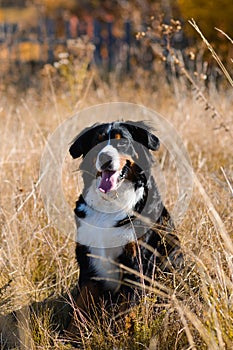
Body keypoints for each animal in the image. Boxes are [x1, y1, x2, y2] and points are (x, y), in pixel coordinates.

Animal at [68, 121, 184, 330]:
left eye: (122, 143)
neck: (110, 203)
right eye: (97, 143)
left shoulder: (137, 260)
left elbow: (125, 313)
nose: (105, 157)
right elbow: (79, 310)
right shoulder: (88, 260)